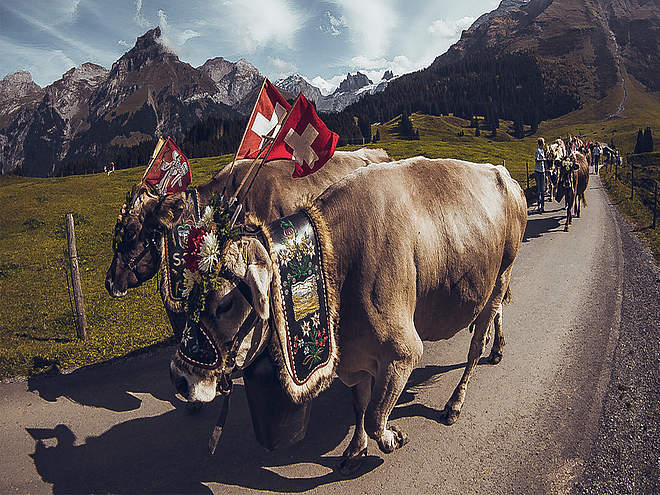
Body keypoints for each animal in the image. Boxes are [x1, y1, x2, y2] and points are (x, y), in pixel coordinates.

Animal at [170, 158, 524, 468]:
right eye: (187, 295)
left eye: (224, 304)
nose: (179, 379)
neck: (338, 260)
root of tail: (502, 172)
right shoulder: (353, 356)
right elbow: (361, 405)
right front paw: (355, 449)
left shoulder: (403, 352)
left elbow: (376, 418)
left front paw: (392, 438)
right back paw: (494, 350)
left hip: (501, 276)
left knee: (477, 345)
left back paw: (455, 402)